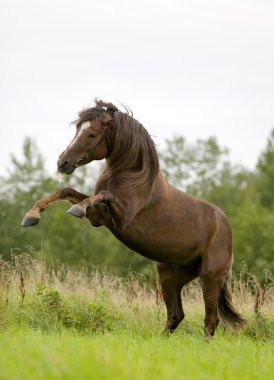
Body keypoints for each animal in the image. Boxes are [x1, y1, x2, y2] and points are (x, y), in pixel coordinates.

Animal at [22, 99, 246, 336]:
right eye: (77, 130)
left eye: (92, 134)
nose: (63, 163)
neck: (133, 177)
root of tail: (226, 226)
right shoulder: (99, 217)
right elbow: (67, 191)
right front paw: (31, 216)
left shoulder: (120, 218)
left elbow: (101, 195)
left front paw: (75, 209)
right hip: (171, 274)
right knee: (175, 315)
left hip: (210, 277)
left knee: (211, 320)